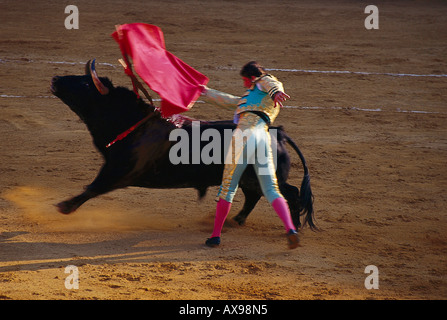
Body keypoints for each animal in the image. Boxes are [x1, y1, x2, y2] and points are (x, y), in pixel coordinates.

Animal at [50, 60, 316, 230]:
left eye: (86, 84)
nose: (55, 78)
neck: (134, 123)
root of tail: (278, 133)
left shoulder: (119, 170)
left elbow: (93, 187)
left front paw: (64, 206)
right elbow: (93, 187)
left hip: (266, 175)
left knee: (290, 193)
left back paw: (293, 225)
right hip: (248, 177)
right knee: (254, 196)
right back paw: (236, 220)